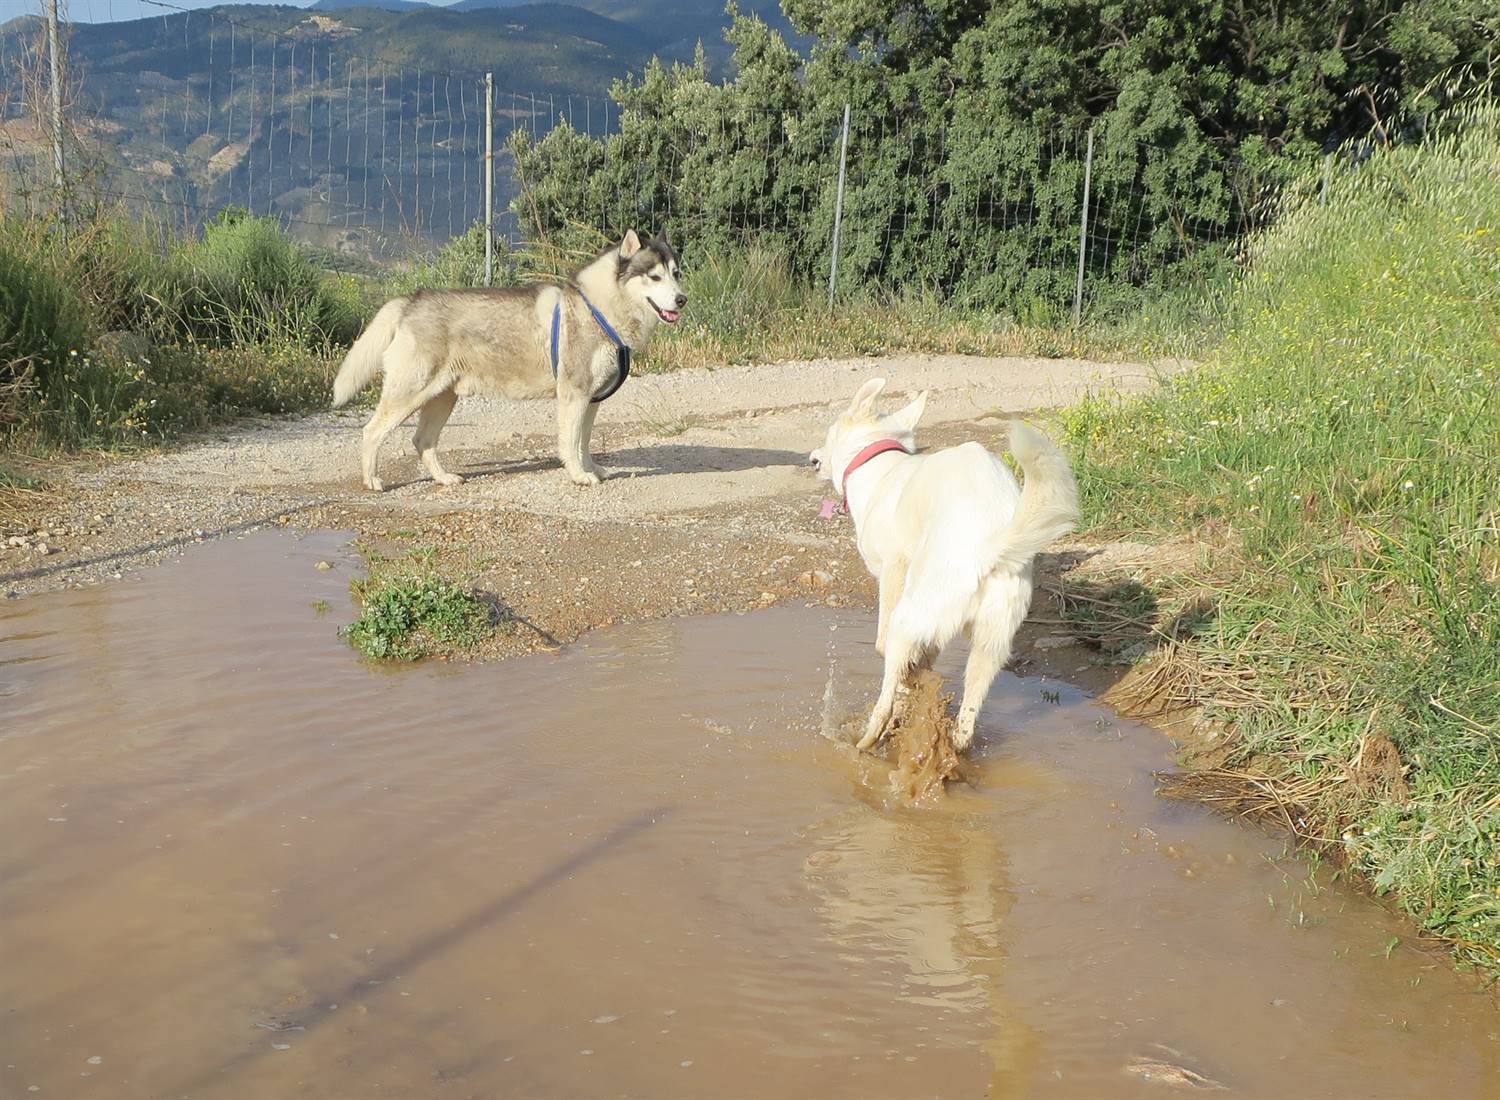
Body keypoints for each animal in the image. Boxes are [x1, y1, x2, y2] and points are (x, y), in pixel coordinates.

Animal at [810, 381, 1080, 750]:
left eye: (829, 432)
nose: (812, 458)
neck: (881, 465)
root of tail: (988, 546)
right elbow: (922, 664)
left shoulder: (895, 569)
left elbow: (888, 652)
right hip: (989, 644)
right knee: (966, 725)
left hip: (912, 614)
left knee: (884, 697)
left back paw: (867, 740)